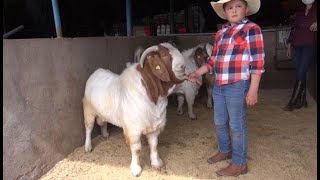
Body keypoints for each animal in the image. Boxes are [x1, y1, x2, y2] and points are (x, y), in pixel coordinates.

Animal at [83, 41, 188, 176]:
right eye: (164, 55)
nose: (183, 66)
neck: (152, 95)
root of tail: (96, 72)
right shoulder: (133, 130)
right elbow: (137, 149)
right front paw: (136, 169)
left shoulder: (155, 127)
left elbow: (154, 145)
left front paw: (156, 163)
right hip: (88, 111)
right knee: (89, 128)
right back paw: (87, 147)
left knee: (103, 122)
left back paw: (105, 134)